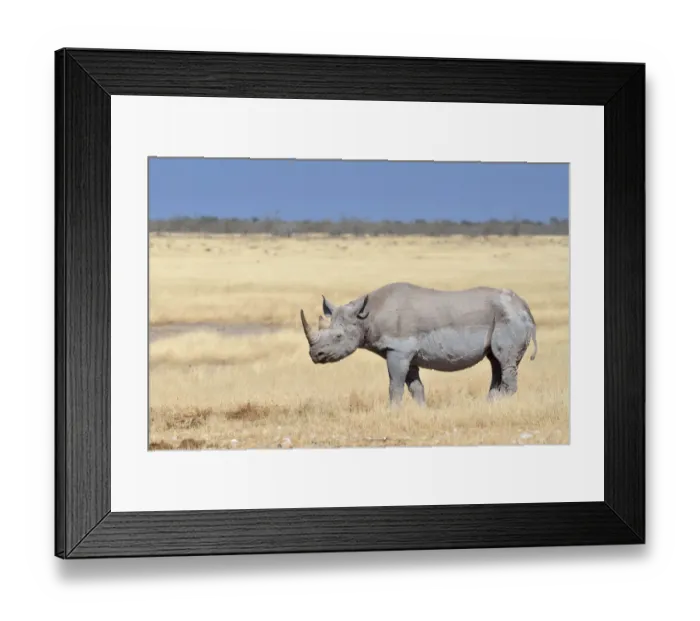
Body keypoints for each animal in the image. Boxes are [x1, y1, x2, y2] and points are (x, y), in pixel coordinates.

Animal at [300, 282, 538, 407]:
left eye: (338, 337)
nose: (315, 355)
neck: (364, 318)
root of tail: (525, 307)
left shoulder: (398, 349)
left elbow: (395, 384)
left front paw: (392, 412)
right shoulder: (407, 352)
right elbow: (415, 386)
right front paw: (422, 410)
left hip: (509, 317)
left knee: (505, 361)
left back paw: (499, 405)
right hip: (503, 317)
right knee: (495, 362)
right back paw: (488, 405)